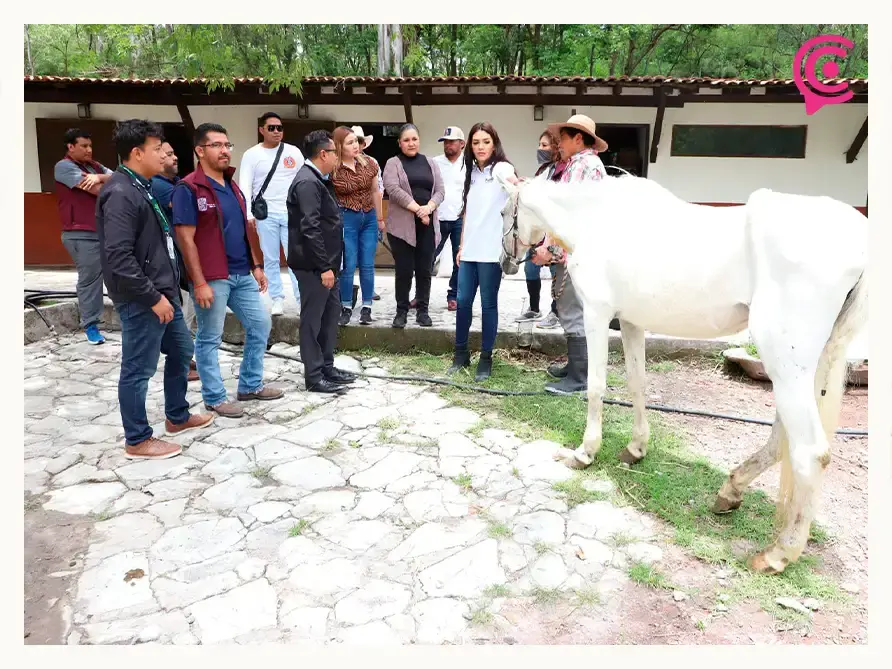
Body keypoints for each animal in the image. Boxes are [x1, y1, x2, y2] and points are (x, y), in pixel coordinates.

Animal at [495, 171, 868, 575]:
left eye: (502, 212)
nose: (505, 263)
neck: (596, 219)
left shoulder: (597, 314)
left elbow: (596, 387)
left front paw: (584, 452)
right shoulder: (631, 321)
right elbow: (637, 383)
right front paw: (636, 449)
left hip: (785, 363)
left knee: (810, 452)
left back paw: (778, 553)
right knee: (781, 439)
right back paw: (731, 491)